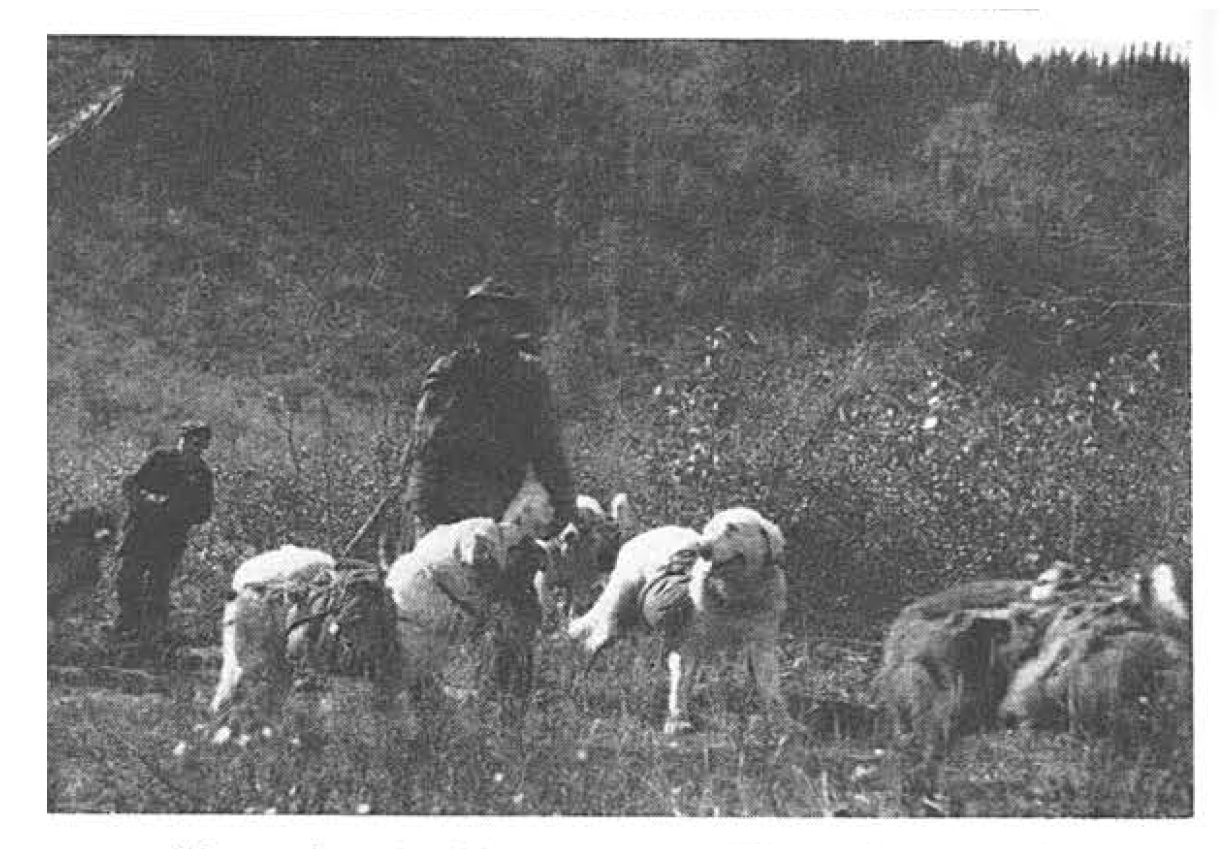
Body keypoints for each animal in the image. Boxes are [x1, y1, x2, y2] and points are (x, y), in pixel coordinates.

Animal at [566, 507, 788, 729]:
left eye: (732, 528)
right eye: (709, 530)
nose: (703, 549)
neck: (736, 596)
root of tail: (638, 536)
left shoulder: (762, 646)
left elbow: (769, 687)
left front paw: (779, 720)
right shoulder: (688, 645)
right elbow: (681, 685)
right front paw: (678, 721)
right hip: (617, 618)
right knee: (591, 645)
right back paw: (581, 689)